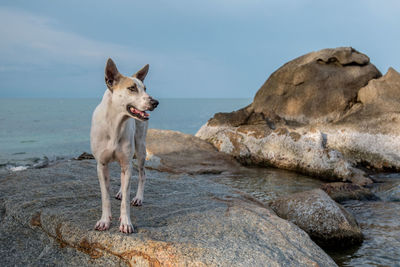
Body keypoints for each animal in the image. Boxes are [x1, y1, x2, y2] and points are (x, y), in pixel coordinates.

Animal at [90, 58, 158, 234]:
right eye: (132, 88)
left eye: (145, 89)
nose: (155, 102)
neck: (115, 124)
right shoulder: (101, 165)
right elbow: (105, 196)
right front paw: (104, 221)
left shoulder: (127, 163)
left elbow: (126, 199)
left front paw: (126, 222)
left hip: (140, 147)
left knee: (142, 173)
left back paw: (138, 198)